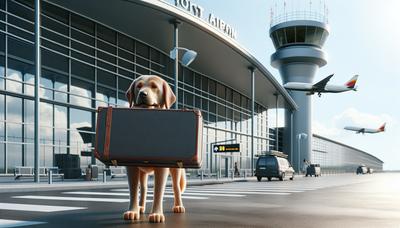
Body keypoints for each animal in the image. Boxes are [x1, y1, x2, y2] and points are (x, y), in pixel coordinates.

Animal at [123, 75, 186, 223]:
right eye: (139, 86)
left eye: (154, 86)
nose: (142, 94)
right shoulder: (131, 166)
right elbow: (133, 190)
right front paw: (133, 210)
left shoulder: (162, 168)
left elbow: (158, 190)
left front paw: (156, 214)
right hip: (142, 172)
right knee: (144, 187)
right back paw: (140, 207)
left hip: (176, 171)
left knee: (176, 187)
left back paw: (178, 206)